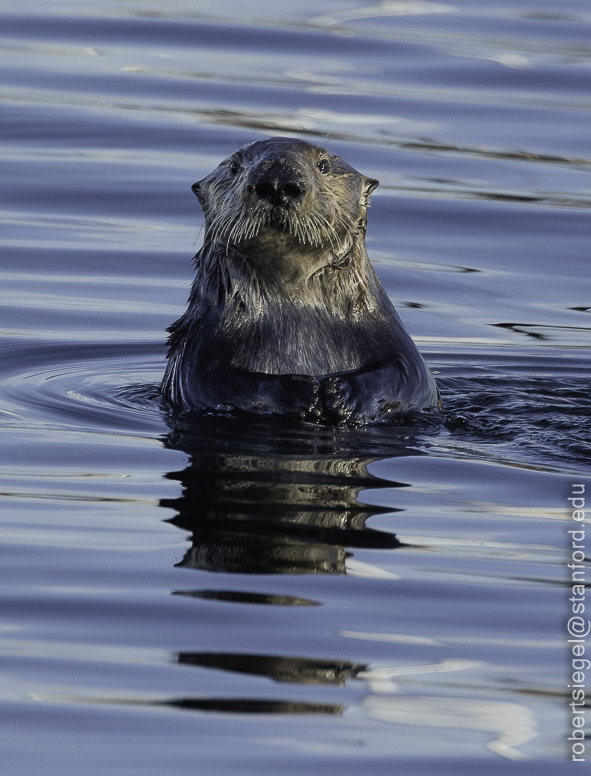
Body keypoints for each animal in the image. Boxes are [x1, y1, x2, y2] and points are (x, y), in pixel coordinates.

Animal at [161, 136, 440, 422]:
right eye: (235, 167)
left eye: (324, 165)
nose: (277, 183)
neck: (298, 307)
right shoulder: (197, 350)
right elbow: (212, 384)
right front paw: (306, 392)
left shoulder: (391, 335)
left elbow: (410, 378)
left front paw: (341, 393)